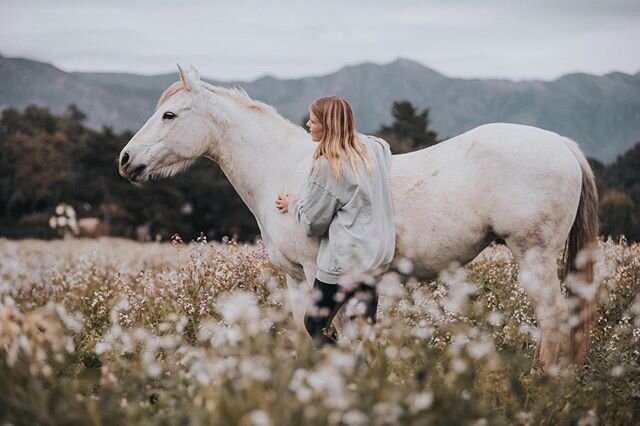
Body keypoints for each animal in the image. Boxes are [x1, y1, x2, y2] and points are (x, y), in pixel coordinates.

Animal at [117, 65, 596, 370]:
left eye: (169, 114)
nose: (125, 160)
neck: (284, 168)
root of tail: (562, 144)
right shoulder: (298, 279)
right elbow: (309, 333)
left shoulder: (319, 274)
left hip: (533, 255)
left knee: (555, 317)